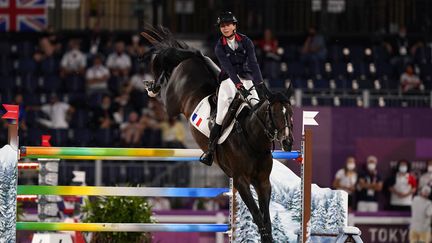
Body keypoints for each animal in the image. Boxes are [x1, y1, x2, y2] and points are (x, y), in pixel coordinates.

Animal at [142, 27, 294, 243]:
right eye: (274, 114)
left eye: (290, 113)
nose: (288, 142)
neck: (252, 140)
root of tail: (195, 58)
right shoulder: (241, 181)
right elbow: (257, 216)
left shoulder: (263, 182)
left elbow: (266, 218)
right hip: (172, 103)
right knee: (165, 85)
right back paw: (152, 86)